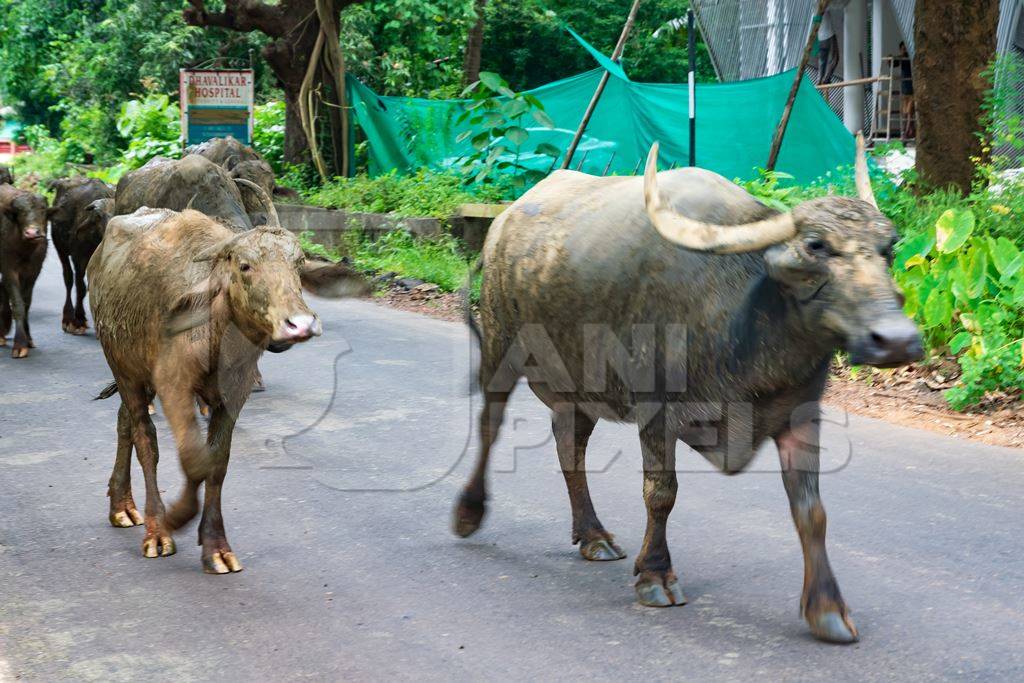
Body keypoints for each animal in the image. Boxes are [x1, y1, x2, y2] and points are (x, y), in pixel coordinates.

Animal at [0, 184, 48, 360]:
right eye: (20, 211)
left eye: (42, 209)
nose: (32, 233)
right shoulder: (8, 268)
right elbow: (18, 304)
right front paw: (19, 344)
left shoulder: (34, 270)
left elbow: (26, 302)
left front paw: (28, 339)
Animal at [48, 178, 114, 335]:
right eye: (99, 216)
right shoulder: (79, 256)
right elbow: (81, 286)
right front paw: (78, 320)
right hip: (60, 247)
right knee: (68, 278)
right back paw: (68, 319)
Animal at [88, 206, 368, 573]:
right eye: (245, 266)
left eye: (298, 264)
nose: (301, 324)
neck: (218, 337)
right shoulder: (172, 384)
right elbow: (193, 459)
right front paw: (174, 519)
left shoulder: (234, 395)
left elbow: (217, 463)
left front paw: (215, 546)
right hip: (124, 369)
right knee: (145, 437)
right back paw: (154, 528)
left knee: (126, 423)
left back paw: (121, 505)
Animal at [454, 135, 921, 647]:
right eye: (816, 245)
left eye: (889, 248)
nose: (896, 340)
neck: (741, 322)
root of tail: (502, 225)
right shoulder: (655, 410)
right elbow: (661, 492)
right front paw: (655, 575)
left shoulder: (799, 415)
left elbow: (811, 511)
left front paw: (827, 609)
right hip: (499, 346)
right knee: (491, 424)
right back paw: (469, 512)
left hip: (579, 382)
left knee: (569, 446)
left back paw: (593, 535)